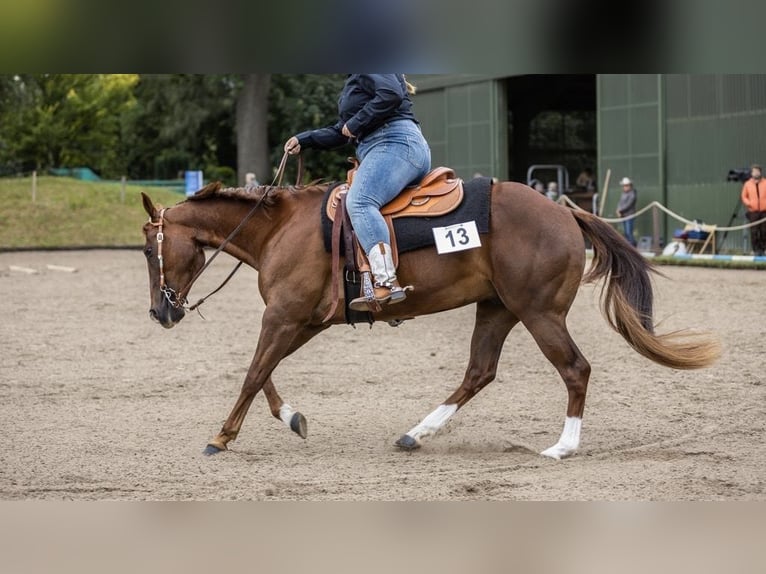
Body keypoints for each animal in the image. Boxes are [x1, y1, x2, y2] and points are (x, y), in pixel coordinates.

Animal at [140, 175, 720, 459]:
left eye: (148, 250)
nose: (160, 313)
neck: (282, 228)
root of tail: (564, 210)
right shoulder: (303, 319)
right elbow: (264, 373)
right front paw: (291, 417)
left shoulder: (284, 316)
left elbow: (254, 372)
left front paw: (221, 438)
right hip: (498, 309)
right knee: (479, 372)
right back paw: (416, 434)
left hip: (539, 313)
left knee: (575, 369)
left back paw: (563, 447)